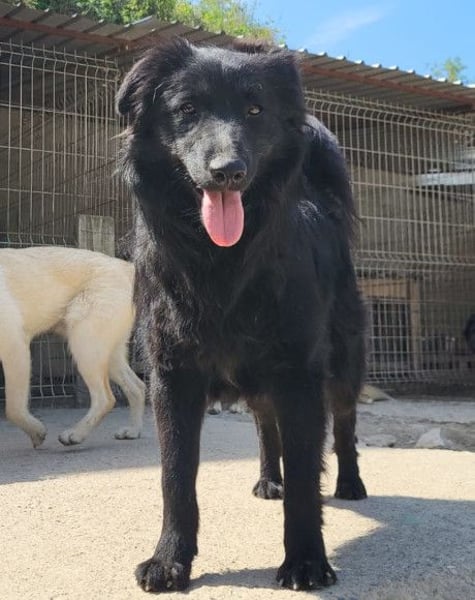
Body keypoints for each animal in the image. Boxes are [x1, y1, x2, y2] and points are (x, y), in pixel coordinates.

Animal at [0, 246, 145, 447]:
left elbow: (13, 408)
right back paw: (133, 430)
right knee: (137, 387)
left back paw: (75, 434)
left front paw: (37, 432)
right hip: (106, 353)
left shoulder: (14, 345)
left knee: (105, 398)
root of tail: (126, 267)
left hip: (84, 344)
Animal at [117, 39, 367, 592]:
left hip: (343, 362)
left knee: (343, 423)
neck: (223, 261)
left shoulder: (299, 371)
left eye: (255, 110)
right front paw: (170, 559)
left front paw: (306, 561)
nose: (227, 171)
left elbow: (306, 474)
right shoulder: (173, 375)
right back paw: (268, 478)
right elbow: (175, 476)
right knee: (264, 423)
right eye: (187, 109)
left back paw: (350, 482)